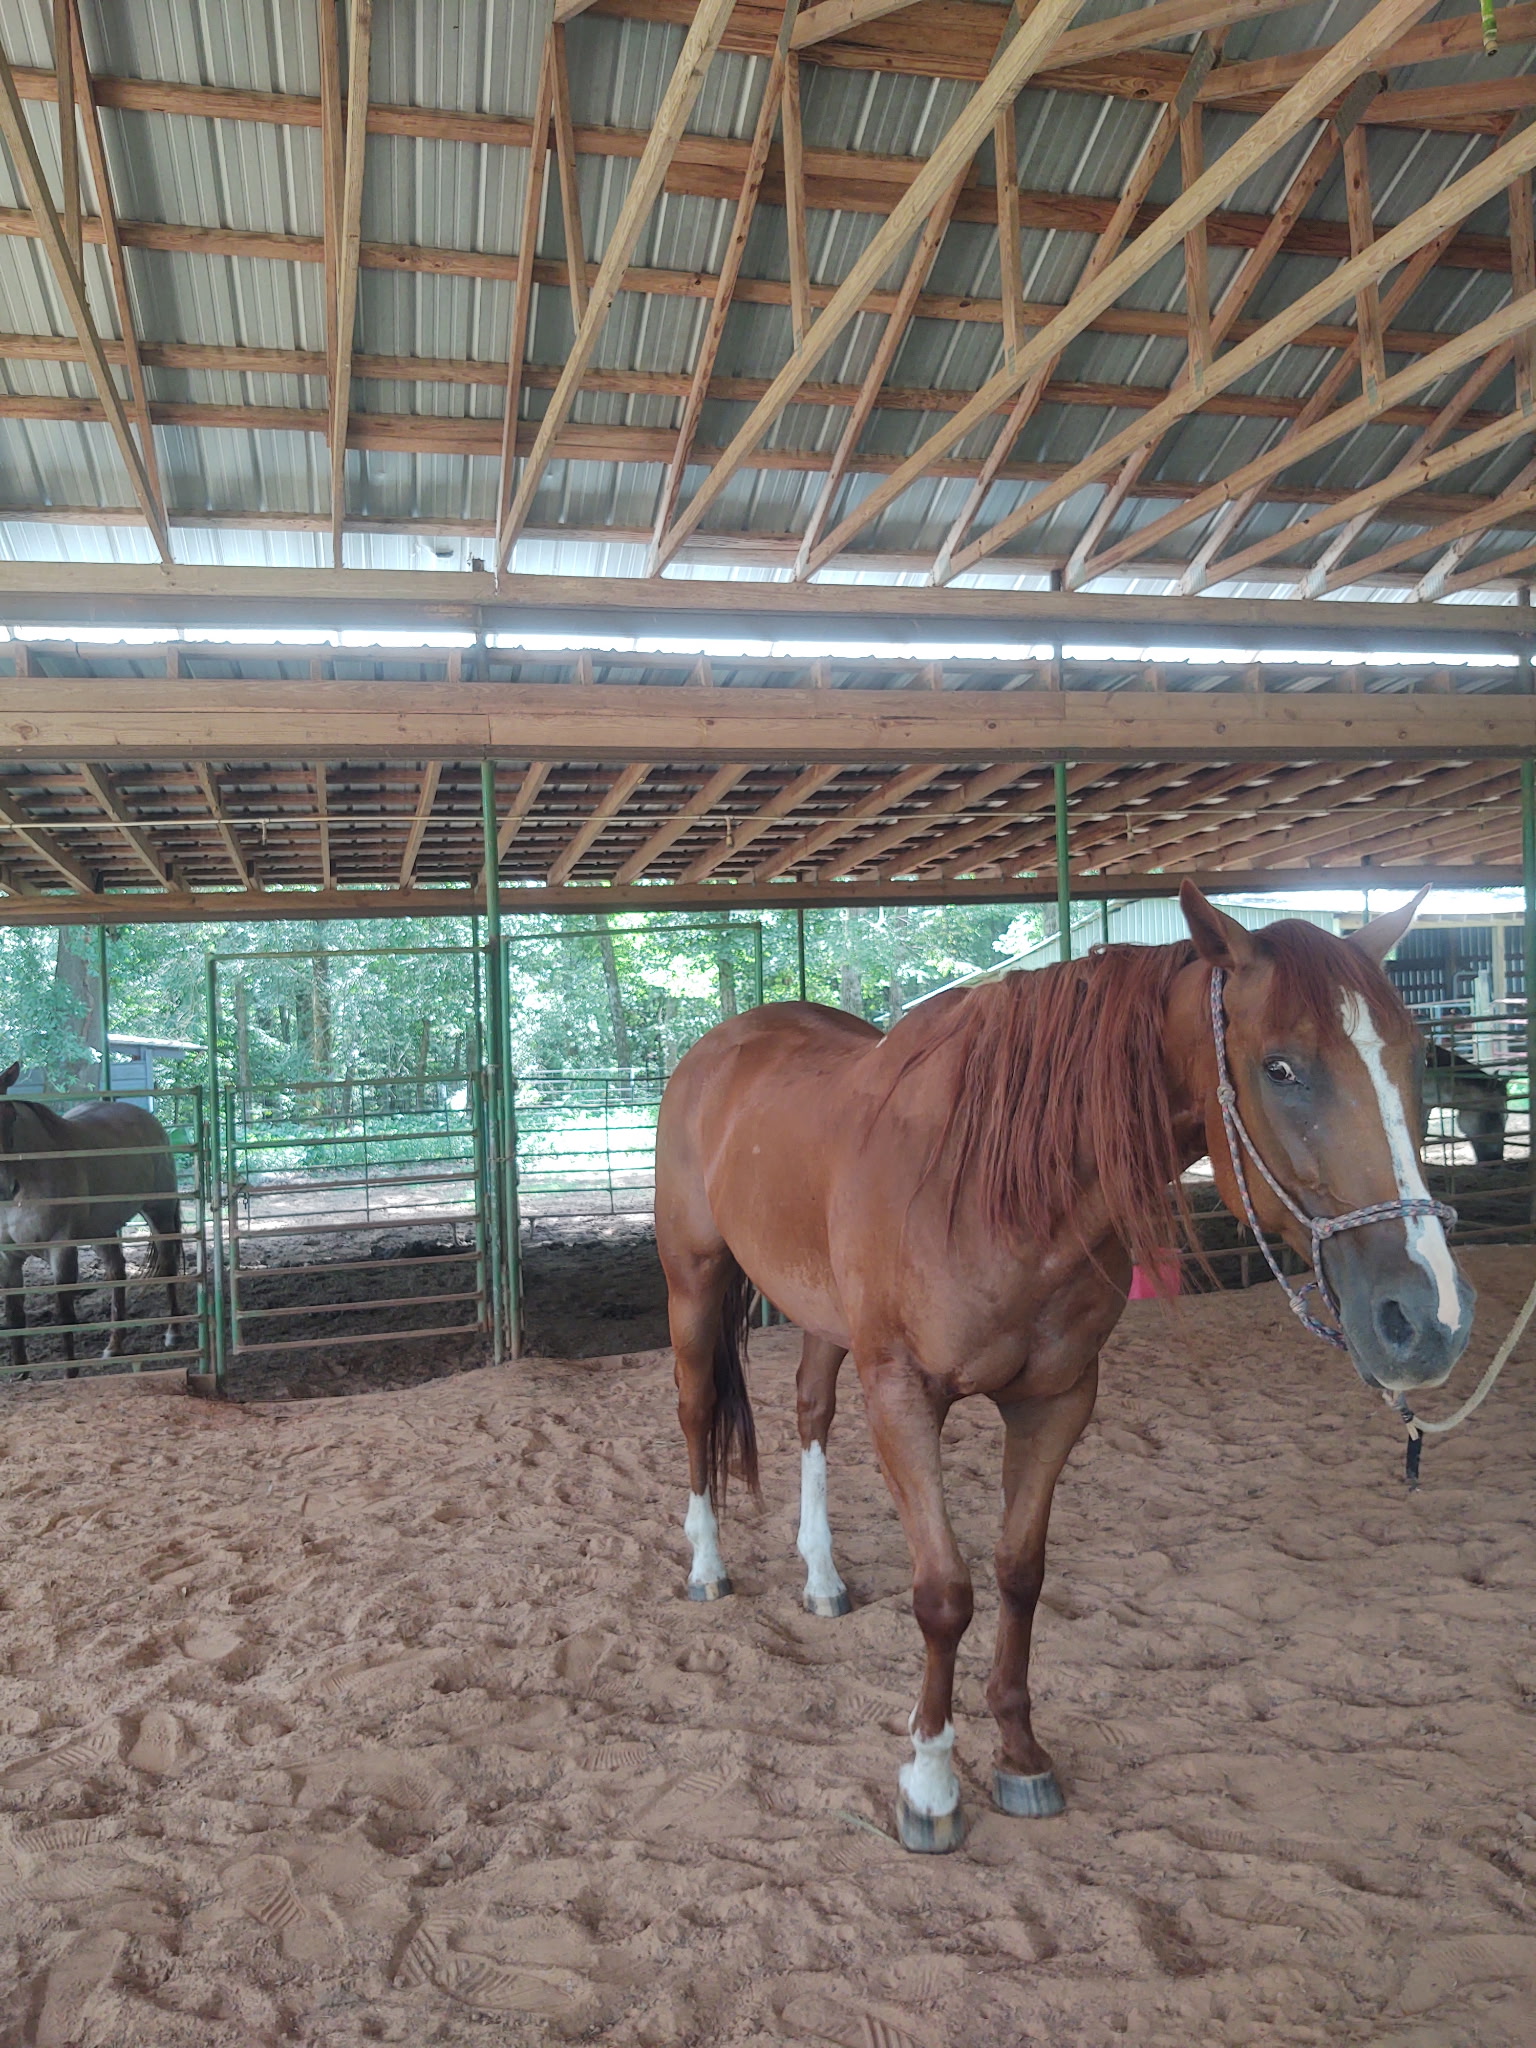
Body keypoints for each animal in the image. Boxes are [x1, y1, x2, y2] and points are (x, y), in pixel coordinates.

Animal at [0, 1059, 184, 1375]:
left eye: (10, 1116)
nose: (4, 1187)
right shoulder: (7, 1256)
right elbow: (14, 1315)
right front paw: (20, 1372)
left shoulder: (61, 1248)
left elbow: (64, 1314)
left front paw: (70, 1373)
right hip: (102, 1230)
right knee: (116, 1273)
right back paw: (114, 1345)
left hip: (158, 1212)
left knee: (168, 1265)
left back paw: (172, 1333)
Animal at [654, 882, 1474, 1852]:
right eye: (1280, 1068)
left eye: (1412, 1056)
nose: (1429, 1319)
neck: (990, 1182)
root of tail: (723, 1045)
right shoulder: (902, 1396)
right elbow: (945, 1594)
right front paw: (930, 1783)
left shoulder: (1056, 1401)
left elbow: (1019, 1574)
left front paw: (1019, 1755)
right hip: (694, 1283)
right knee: (698, 1413)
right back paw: (707, 1568)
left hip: (819, 1313)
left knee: (810, 1412)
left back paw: (820, 1579)